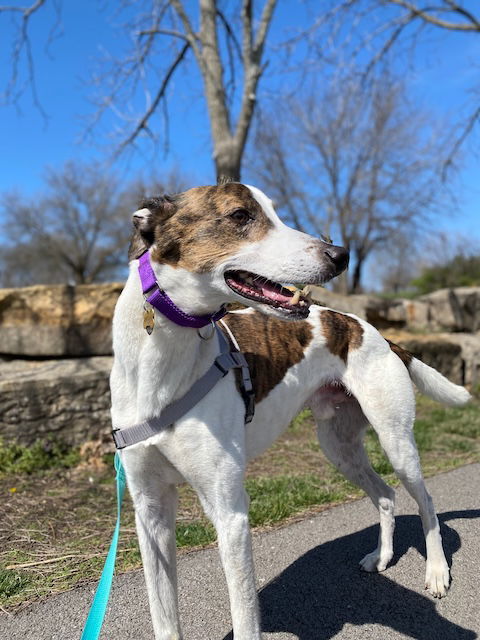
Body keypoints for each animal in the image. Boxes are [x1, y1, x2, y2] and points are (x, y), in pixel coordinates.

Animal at [110, 181, 470, 640]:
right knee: (387, 496)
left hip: (396, 442)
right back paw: (382, 557)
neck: (162, 365)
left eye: (275, 213)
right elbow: (165, 618)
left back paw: (437, 572)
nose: (340, 255)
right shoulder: (150, 512)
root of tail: (371, 329)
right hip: (339, 447)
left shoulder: (230, 513)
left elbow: (245, 616)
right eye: (240, 215)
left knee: (425, 501)